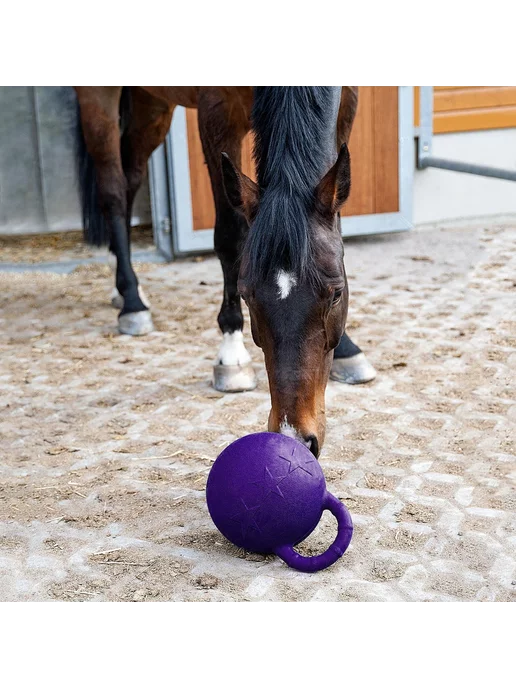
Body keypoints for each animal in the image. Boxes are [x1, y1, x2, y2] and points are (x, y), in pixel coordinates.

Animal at [74, 85, 376, 456]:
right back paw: (132, 300)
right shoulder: (218, 113)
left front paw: (347, 348)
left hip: (153, 105)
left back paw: (125, 289)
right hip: (98, 96)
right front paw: (231, 350)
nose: (294, 437)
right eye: (246, 295)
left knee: (131, 178)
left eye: (336, 294)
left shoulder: (347, 103)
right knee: (113, 191)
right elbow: (230, 236)